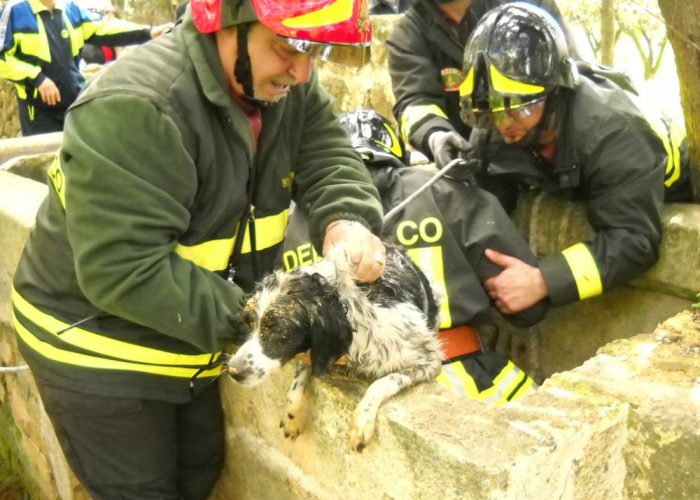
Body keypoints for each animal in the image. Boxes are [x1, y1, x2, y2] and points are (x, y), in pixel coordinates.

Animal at [227, 244, 440, 452]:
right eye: (249, 322)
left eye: (279, 329)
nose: (232, 371)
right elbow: (300, 376)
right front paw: (293, 415)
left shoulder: (429, 360)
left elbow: (383, 382)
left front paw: (362, 420)